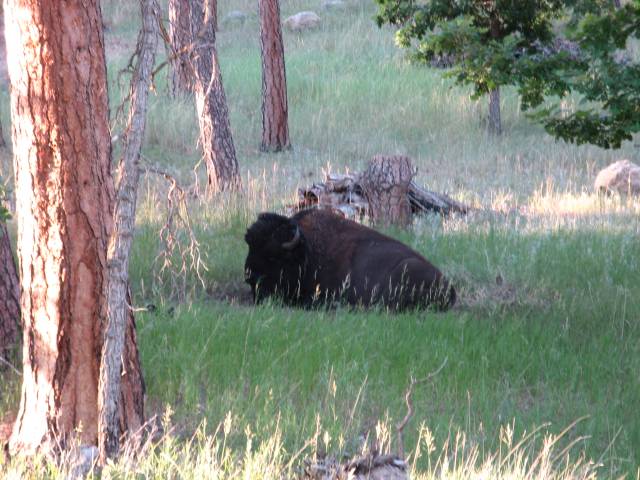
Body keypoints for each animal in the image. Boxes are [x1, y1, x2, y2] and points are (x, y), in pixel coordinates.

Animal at [244, 210, 456, 312]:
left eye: (272, 256)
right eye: (250, 246)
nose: (249, 276)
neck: (308, 252)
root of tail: (450, 287)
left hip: (405, 269)